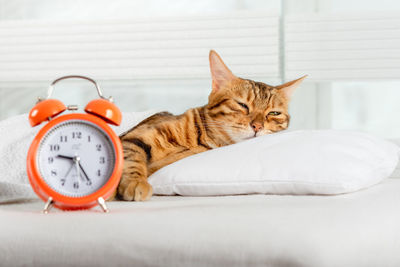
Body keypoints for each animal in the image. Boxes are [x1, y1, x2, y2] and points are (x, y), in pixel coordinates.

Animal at [116, 49, 306, 201]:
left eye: (274, 113)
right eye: (242, 105)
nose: (257, 126)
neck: (200, 139)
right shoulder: (134, 137)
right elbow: (131, 157)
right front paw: (135, 182)